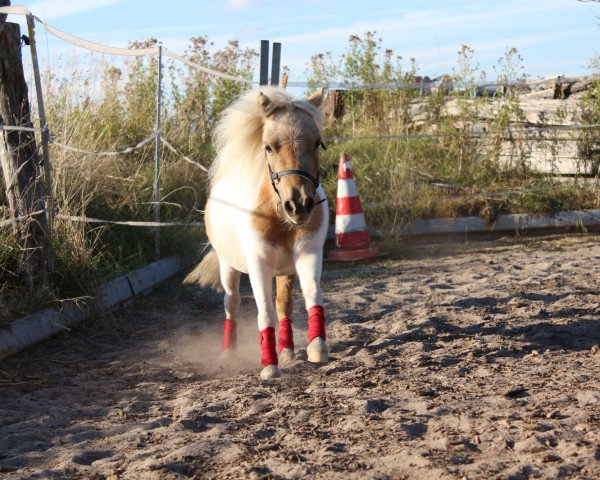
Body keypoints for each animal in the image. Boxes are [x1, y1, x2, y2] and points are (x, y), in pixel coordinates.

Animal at [185, 86, 330, 378]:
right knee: (232, 304)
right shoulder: (258, 263)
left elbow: (311, 296)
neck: (277, 214)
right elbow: (264, 312)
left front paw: (317, 348)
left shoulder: (308, 254)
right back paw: (229, 352)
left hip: (285, 271)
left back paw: (287, 350)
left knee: (284, 305)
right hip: (228, 266)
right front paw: (269, 366)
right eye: (268, 147)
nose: (299, 205)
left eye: (317, 143)